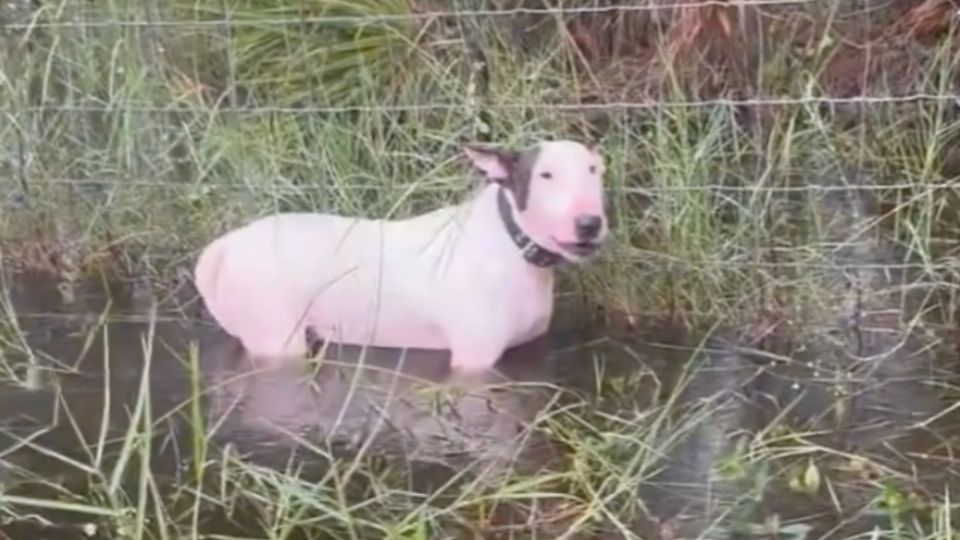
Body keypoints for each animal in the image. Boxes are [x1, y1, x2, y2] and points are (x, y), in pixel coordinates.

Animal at [194, 139, 608, 374]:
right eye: (545, 175)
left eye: (594, 170)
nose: (590, 223)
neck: (512, 243)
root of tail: (224, 246)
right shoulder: (473, 360)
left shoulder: (530, 346)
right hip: (277, 337)